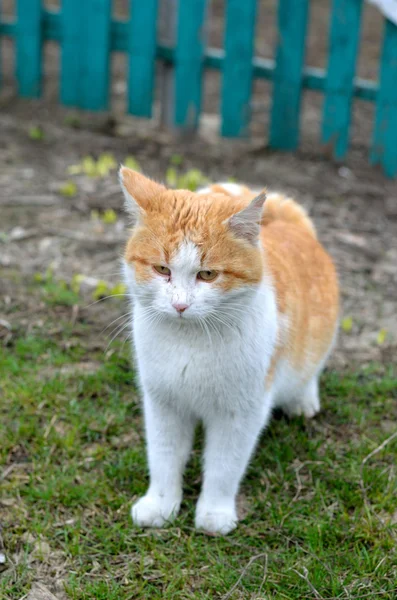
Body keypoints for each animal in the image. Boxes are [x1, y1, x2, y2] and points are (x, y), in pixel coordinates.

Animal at [118, 168, 338, 536]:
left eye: (207, 274)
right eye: (162, 269)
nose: (180, 305)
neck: (189, 341)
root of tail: (282, 219)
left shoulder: (240, 413)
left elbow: (224, 466)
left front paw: (214, 514)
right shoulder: (163, 404)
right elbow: (164, 458)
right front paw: (160, 505)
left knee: (311, 369)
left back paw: (303, 400)